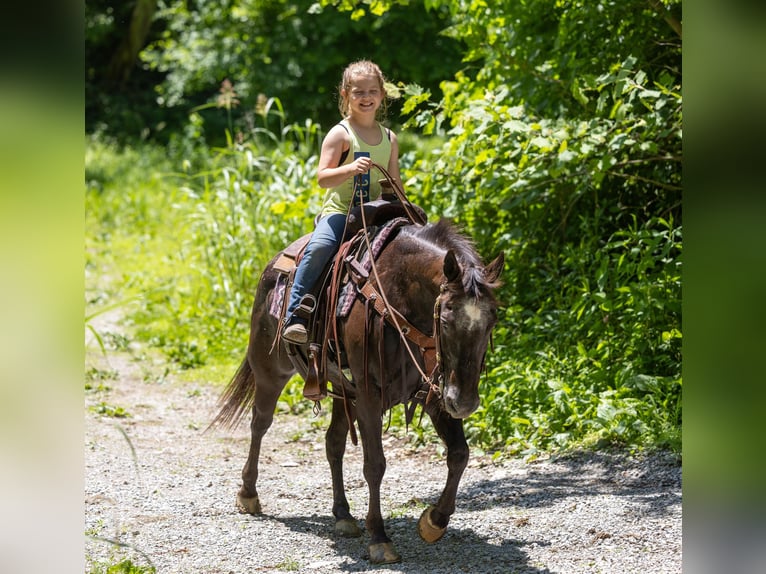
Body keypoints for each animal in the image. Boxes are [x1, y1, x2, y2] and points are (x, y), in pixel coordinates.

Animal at [211, 214, 504, 564]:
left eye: (491, 321)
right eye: (445, 320)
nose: (464, 402)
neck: (400, 298)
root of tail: (273, 265)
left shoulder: (435, 392)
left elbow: (460, 454)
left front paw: (434, 521)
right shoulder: (369, 395)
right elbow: (375, 464)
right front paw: (379, 537)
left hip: (342, 390)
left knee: (333, 442)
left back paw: (343, 515)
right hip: (270, 370)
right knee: (260, 423)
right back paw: (248, 494)